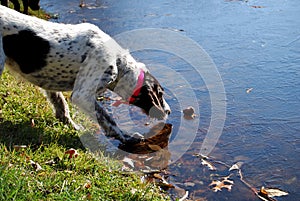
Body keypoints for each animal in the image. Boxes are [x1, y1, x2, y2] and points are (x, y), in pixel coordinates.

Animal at [0, 5, 170, 144]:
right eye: (160, 94)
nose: (168, 111)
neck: (119, 63)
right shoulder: (82, 96)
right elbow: (108, 119)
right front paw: (126, 138)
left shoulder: (50, 82)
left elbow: (61, 106)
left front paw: (72, 126)